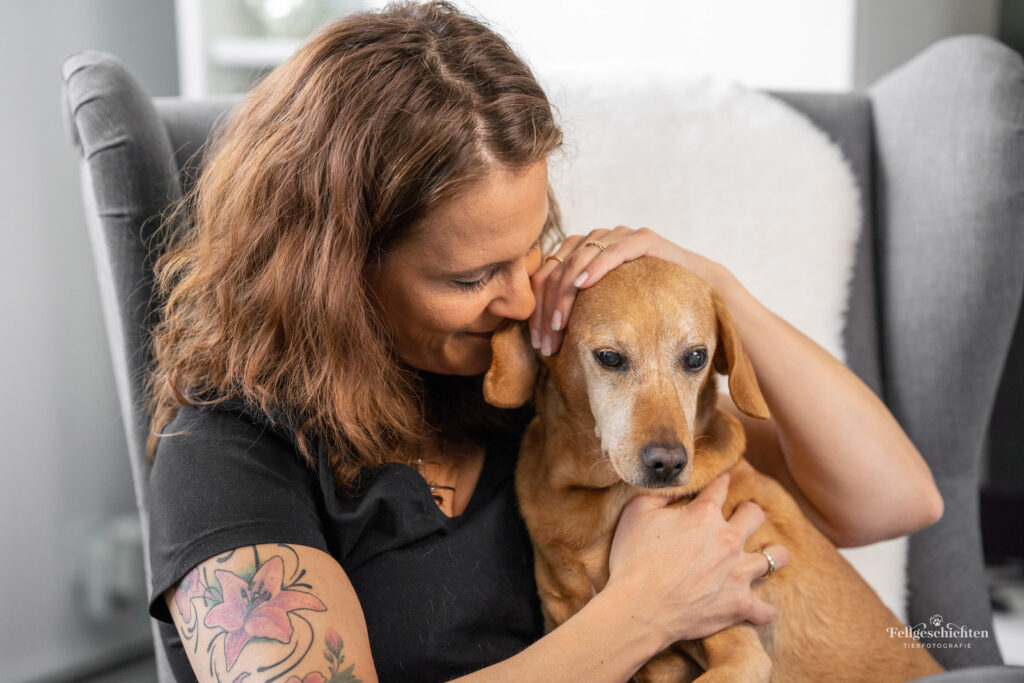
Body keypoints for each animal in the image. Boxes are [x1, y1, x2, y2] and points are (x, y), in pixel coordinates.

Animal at [481, 258, 942, 683]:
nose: (668, 463)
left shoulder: (739, 654)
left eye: (696, 357)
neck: (587, 497)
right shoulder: (565, 627)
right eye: (610, 357)